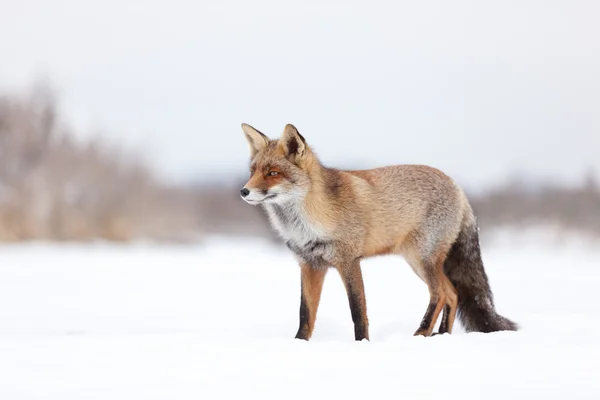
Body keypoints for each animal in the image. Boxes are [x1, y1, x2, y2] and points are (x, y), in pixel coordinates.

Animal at [239, 122, 516, 340]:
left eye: (273, 173)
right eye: (253, 171)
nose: (244, 191)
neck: (306, 222)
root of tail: (457, 186)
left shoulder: (349, 261)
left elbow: (357, 311)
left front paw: (362, 344)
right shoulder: (310, 264)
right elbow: (305, 314)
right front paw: (299, 344)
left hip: (422, 259)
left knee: (439, 293)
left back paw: (421, 333)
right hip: (421, 262)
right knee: (453, 293)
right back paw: (440, 335)